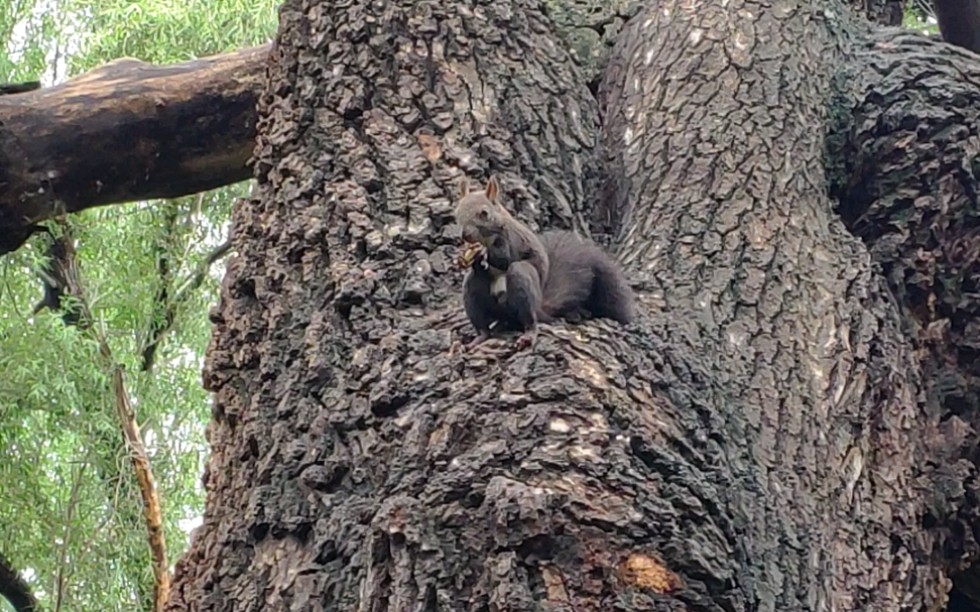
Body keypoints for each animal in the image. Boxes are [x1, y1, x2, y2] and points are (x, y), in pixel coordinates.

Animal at [454, 177, 636, 350]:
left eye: (484, 213)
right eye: (457, 213)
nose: (465, 235)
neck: (487, 238)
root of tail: (540, 306)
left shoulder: (512, 239)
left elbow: (505, 259)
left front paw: (483, 252)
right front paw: (464, 257)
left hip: (522, 284)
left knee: (529, 317)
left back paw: (528, 334)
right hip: (476, 295)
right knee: (478, 300)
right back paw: (479, 338)